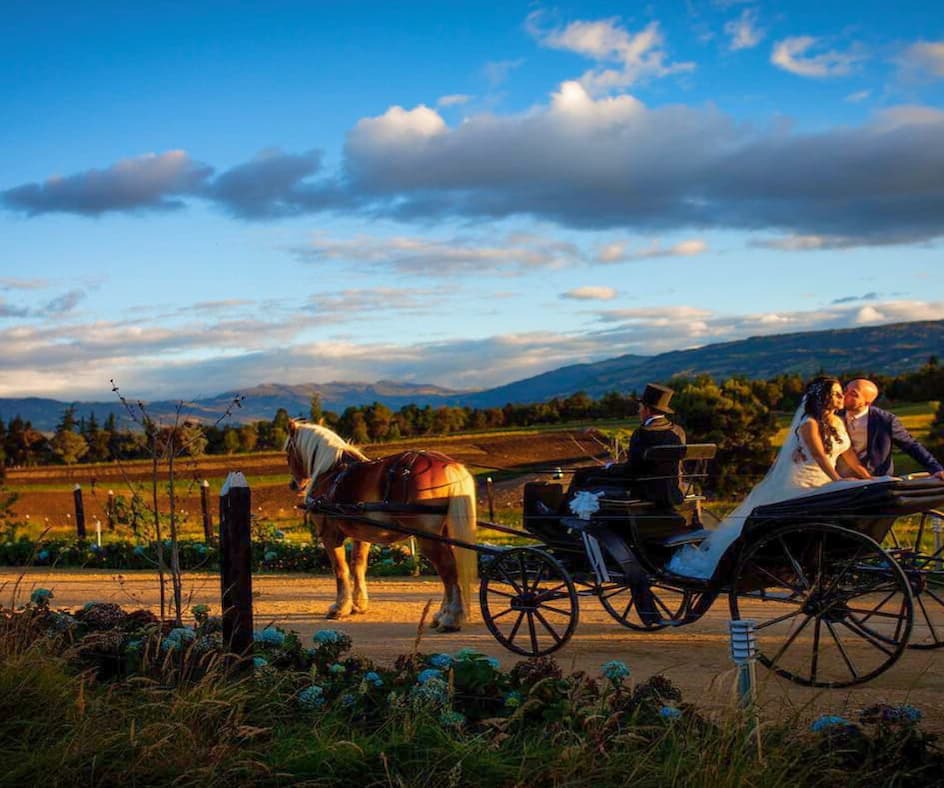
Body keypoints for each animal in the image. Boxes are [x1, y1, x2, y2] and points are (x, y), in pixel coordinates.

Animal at [286, 422, 480, 632]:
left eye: (288, 450)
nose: (293, 484)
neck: (331, 472)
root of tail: (448, 464)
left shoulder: (330, 536)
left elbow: (340, 569)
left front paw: (340, 607)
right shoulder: (361, 535)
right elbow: (358, 565)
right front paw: (358, 605)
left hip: (428, 538)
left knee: (448, 569)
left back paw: (451, 618)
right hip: (444, 535)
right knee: (451, 570)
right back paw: (441, 615)